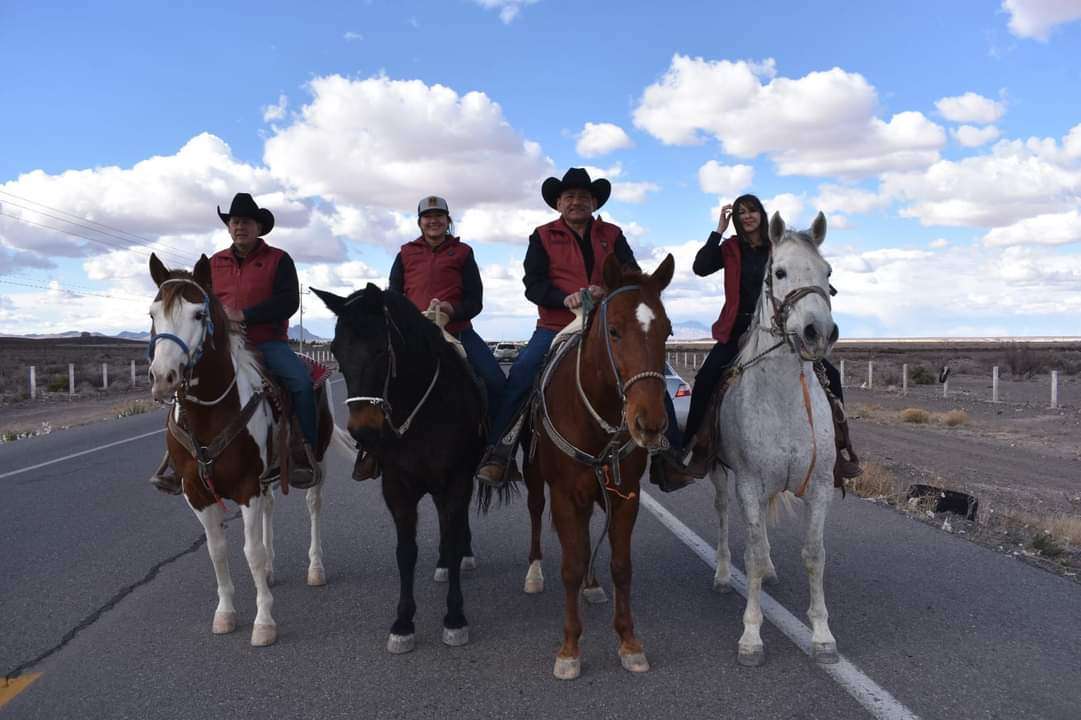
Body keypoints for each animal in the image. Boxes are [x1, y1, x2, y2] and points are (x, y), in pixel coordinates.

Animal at [501, 254, 670, 678]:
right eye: (614, 330)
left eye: (668, 331)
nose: (649, 423)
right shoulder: (564, 495)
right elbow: (570, 565)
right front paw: (569, 649)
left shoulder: (626, 495)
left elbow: (621, 565)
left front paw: (629, 642)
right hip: (535, 477)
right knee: (535, 512)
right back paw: (534, 572)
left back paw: (593, 586)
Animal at [713, 210, 838, 665]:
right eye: (779, 272)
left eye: (827, 272)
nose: (819, 331)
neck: (783, 400)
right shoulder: (748, 482)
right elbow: (748, 555)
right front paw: (751, 636)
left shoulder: (819, 486)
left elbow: (814, 554)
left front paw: (822, 634)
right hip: (721, 474)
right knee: (723, 515)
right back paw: (721, 572)